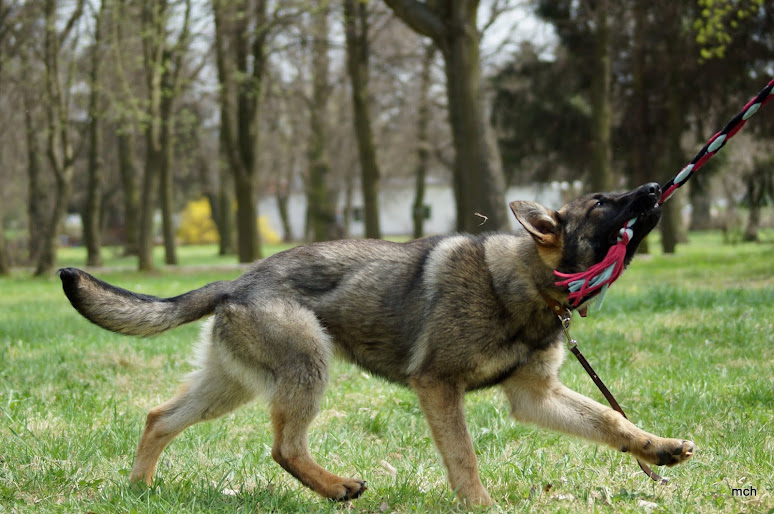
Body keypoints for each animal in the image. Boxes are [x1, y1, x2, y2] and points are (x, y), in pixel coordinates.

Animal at [57, 182, 694, 506]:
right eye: (603, 203)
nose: (654, 185)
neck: (524, 283)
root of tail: (237, 281)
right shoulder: (438, 387)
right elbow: (464, 457)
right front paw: (481, 506)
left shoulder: (535, 396)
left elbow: (611, 422)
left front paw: (658, 449)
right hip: (307, 364)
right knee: (284, 447)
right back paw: (337, 486)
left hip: (232, 385)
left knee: (158, 418)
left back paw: (140, 490)